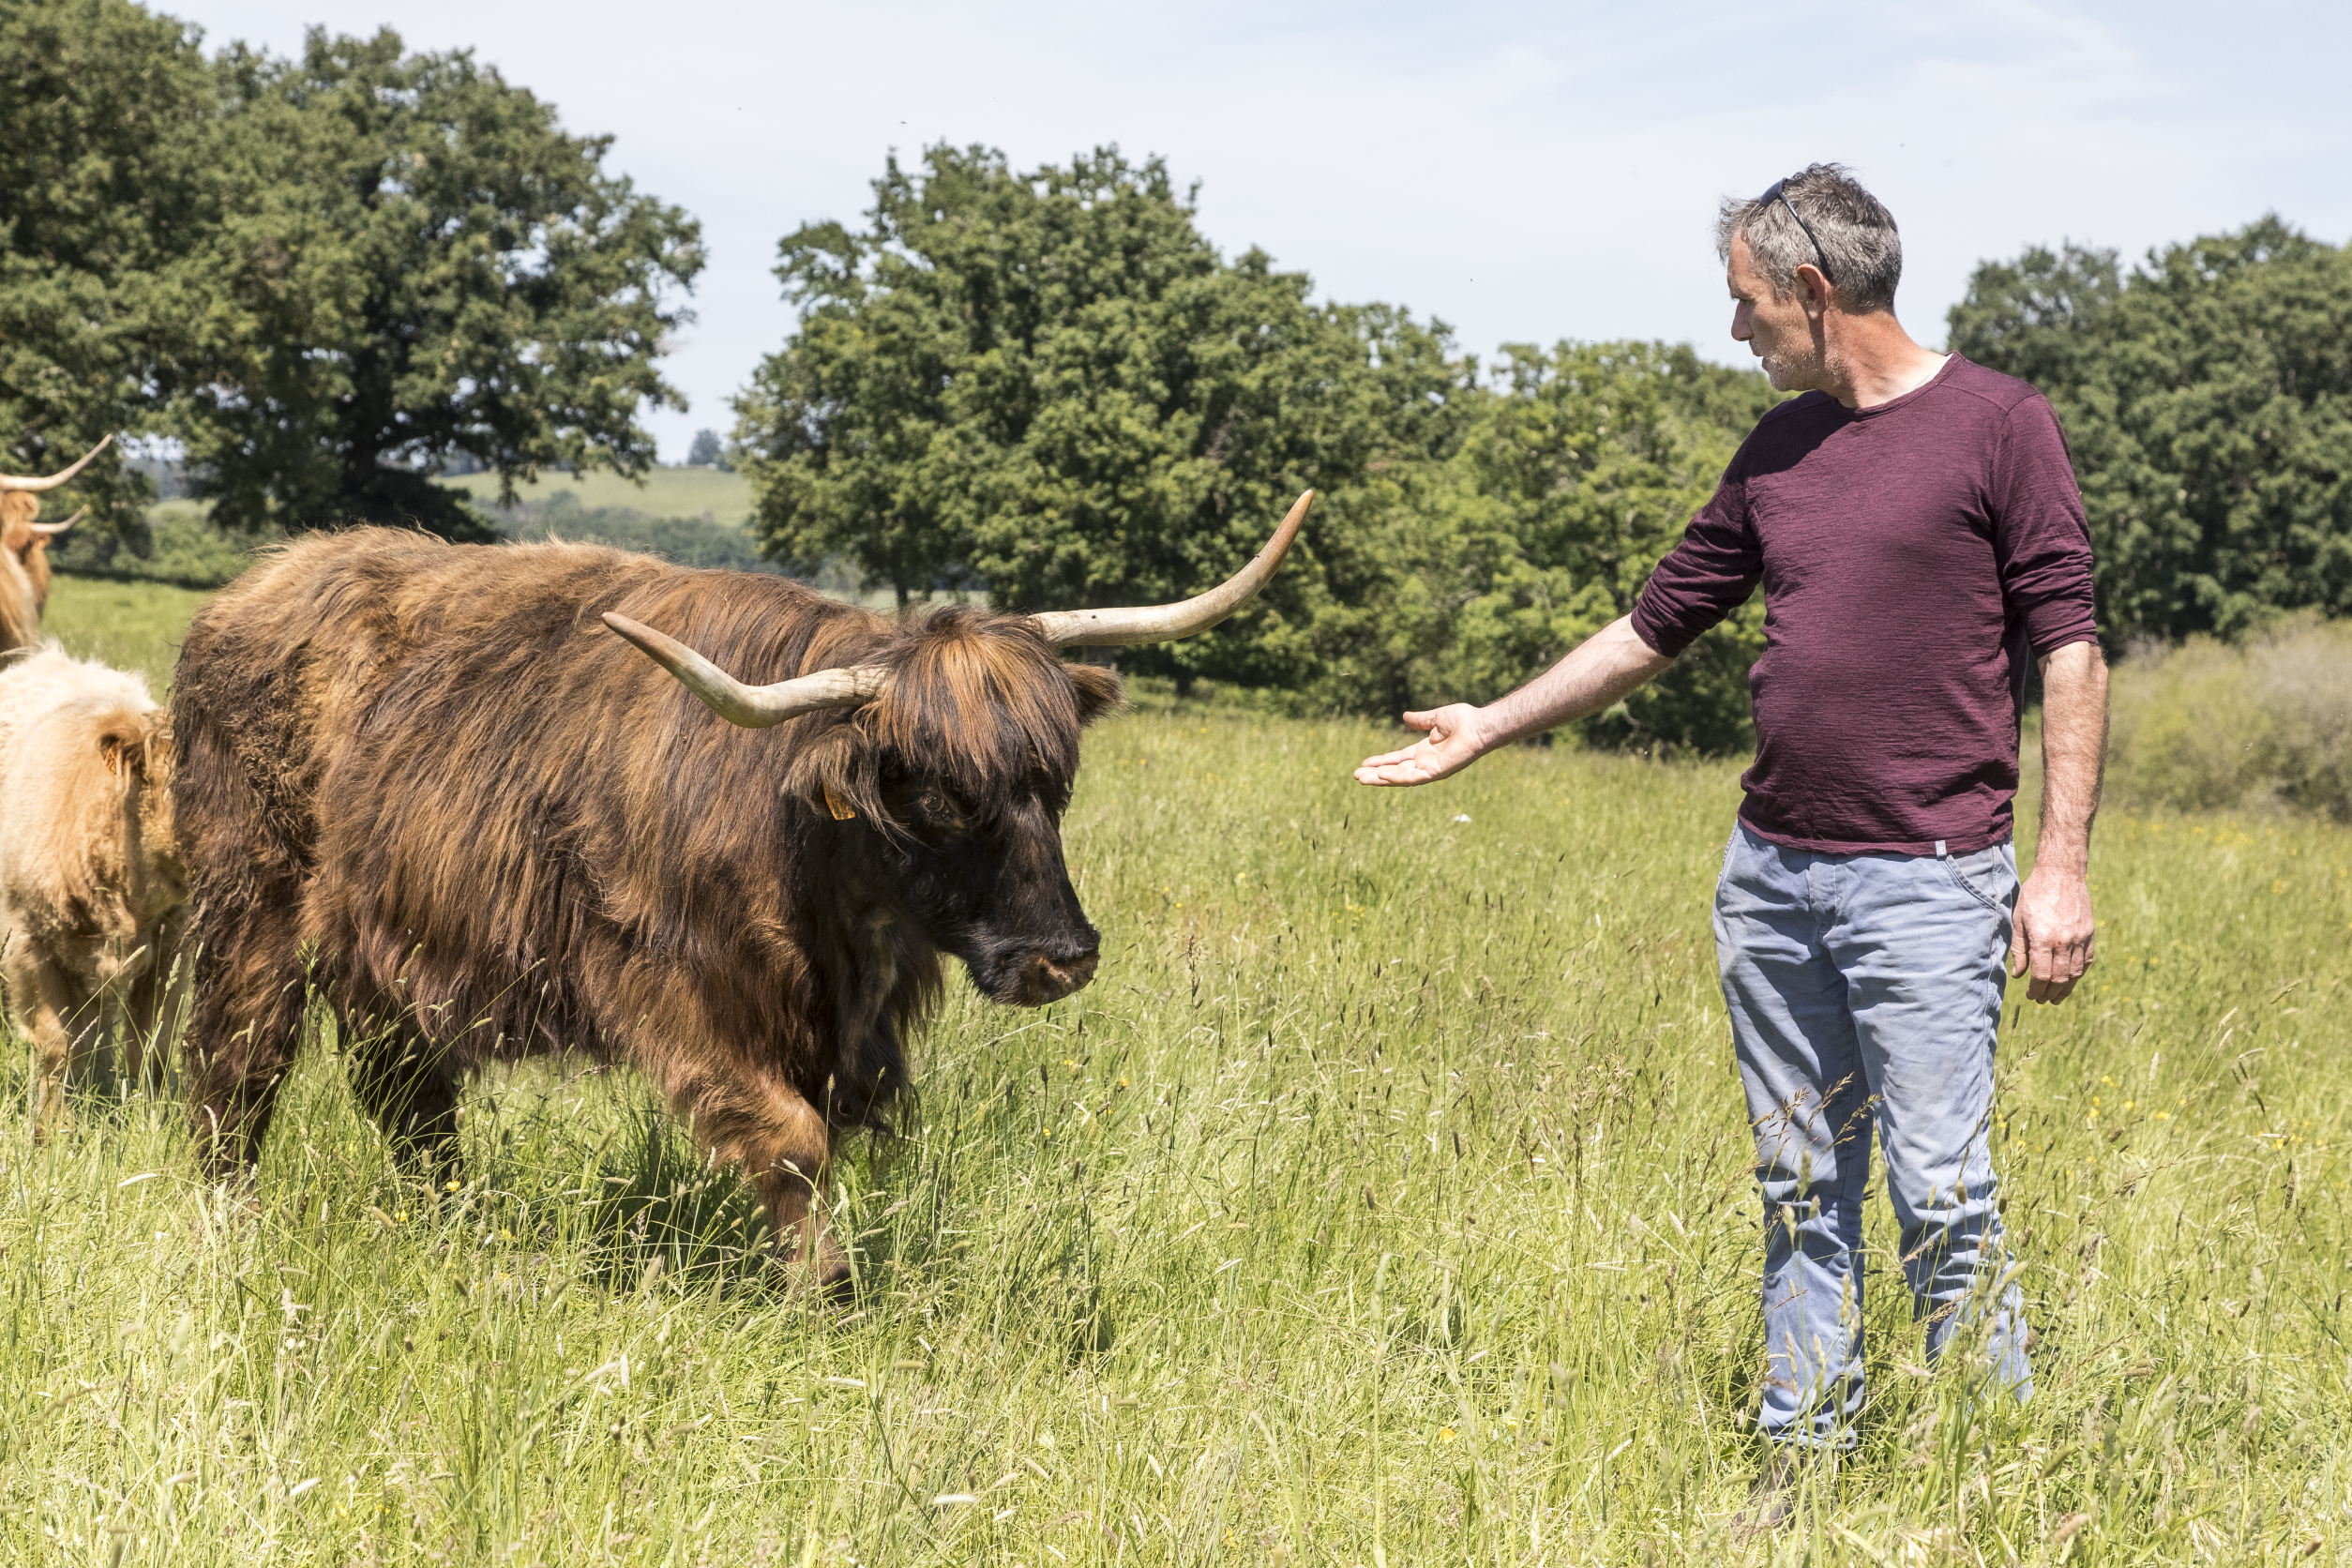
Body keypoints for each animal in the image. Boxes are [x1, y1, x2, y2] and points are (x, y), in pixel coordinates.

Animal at [0, 643, 186, 1133]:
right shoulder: (29, 944)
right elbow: (56, 1045)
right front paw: (51, 1131)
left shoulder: (173, 947)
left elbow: (151, 1045)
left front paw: (151, 1120)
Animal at [173, 493, 1317, 1288]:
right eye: (941, 796)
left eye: (1056, 780)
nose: (1062, 957)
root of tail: (258, 585)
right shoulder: (686, 987)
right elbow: (793, 1142)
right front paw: (828, 1288)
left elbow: (824, 1138)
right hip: (251, 909)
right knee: (240, 1066)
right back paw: (230, 1219)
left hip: (382, 953)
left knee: (408, 1098)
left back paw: (453, 1222)